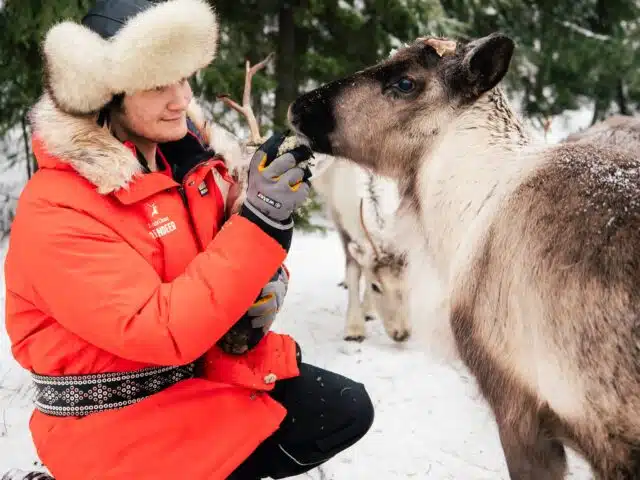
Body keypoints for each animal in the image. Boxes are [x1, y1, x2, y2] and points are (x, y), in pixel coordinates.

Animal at [311, 158, 410, 343]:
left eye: (409, 285)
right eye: (375, 286)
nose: (402, 334)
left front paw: (368, 311)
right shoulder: (343, 220)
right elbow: (354, 270)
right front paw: (354, 330)